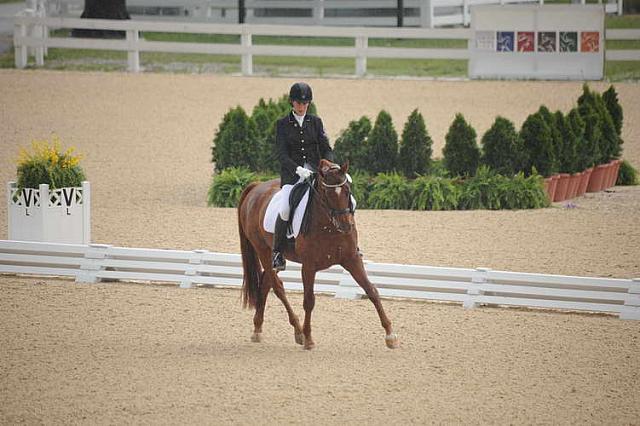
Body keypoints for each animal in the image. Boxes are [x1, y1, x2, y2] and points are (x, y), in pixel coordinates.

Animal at [238, 160, 398, 350]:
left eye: (347, 190)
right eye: (327, 193)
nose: (346, 225)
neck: (329, 226)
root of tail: (256, 187)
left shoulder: (351, 259)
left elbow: (371, 290)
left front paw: (390, 335)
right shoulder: (308, 266)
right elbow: (309, 300)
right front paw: (308, 339)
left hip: (272, 256)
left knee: (265, 284)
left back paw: (258, 329)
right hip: (262, 250)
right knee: (278, 288)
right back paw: (298, 331)